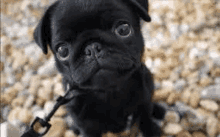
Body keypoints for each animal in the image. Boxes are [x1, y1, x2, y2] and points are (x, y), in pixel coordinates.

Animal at [34, 0, 165, 136]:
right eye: (62, 51)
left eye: (123, 29)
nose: (92, 48)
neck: (109, 91)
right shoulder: (87, 126)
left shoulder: (145, 101)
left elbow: (146, 117)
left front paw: (151, 130)